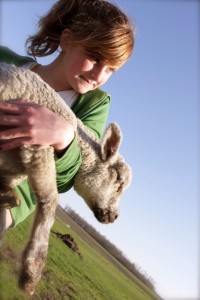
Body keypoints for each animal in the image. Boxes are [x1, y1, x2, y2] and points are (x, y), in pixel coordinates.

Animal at [0, 63, 132, 296]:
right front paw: (31, 273)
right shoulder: (37, 143)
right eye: (118, 180)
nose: (114, 216)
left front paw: (7, 195)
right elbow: (51, 200)